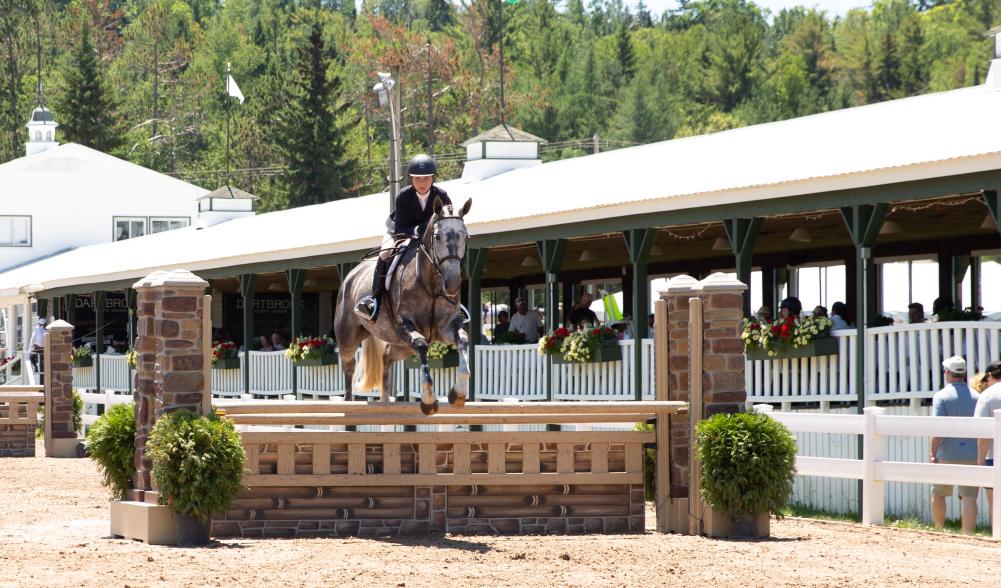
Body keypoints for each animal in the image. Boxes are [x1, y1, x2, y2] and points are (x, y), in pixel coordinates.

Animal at [332, 196, 472, 414]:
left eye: (465, 237)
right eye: (438, 237)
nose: (452, 284)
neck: (431, 282)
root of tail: (351, 274)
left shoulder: (445, 328)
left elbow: (463, 340)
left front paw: (458, 395)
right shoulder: (405, 325)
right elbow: (421, 345)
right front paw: (429, 401)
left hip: (401, 345)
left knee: (387, 358)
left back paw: (385, 400)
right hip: (348, 338)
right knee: (349, 367)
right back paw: (348, 402)